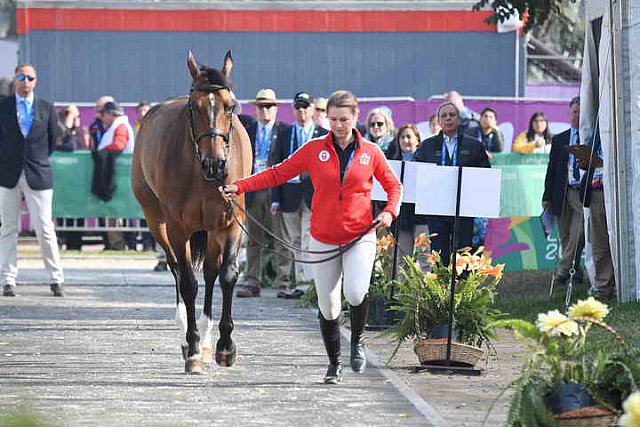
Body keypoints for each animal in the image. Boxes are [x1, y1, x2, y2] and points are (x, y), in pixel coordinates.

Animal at [131, 50, 251, 374]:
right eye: (193, 107)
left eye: (230, 106)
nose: (215, 164)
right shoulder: (178, 227)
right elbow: (187, 281)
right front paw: (194, 348)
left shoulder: (230, 224)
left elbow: (227, 275)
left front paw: (225, 346)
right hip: (156, 221)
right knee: (175, 267)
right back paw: (189, 337)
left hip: (210, 230)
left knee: (210, 272)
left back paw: (208, 340)